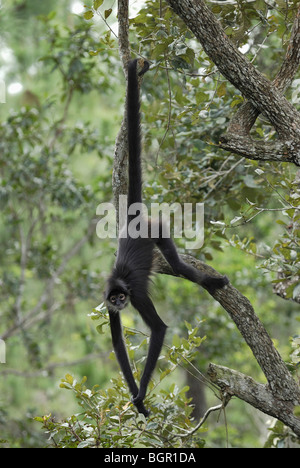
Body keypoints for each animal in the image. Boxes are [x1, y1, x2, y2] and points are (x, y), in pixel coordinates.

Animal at [104, 59, 229, 416]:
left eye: (123, 296)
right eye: (114, 300)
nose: (120, 302)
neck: (120, 284)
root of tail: (134, 221)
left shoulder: (136, 293)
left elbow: (158, 329)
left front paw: (142, 393)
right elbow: (117, 343)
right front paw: (138, 402)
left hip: (157, 230)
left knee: (178, 264)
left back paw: (209, 281)